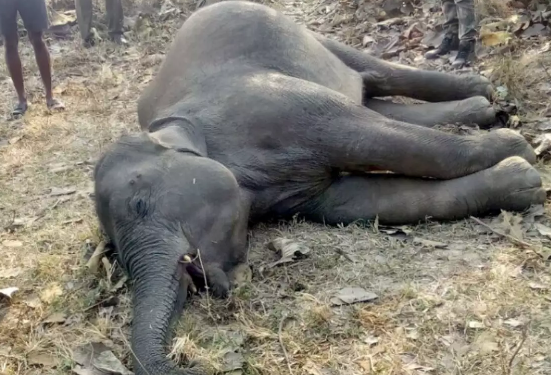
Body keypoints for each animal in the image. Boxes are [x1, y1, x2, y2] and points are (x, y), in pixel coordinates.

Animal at [92, 1, 544, 374]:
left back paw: (482, 92)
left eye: (139, 202)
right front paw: (521, 179)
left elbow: (374, 139)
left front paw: (520, 154)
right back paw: (481, 109)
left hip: (300, 33)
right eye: (111, 251)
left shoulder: (278, 105)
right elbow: (356, 202)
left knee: (376, 77)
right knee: (376, 98)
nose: (193, 359)